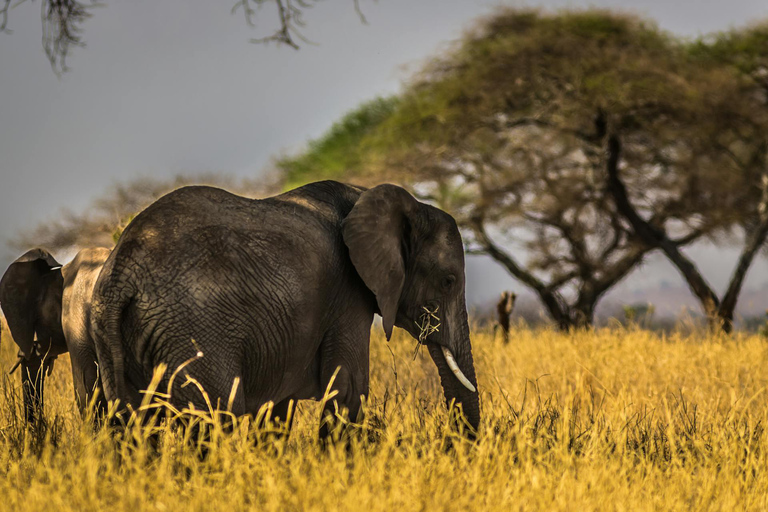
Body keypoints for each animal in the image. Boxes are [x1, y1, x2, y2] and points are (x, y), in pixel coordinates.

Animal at [91, 182, 480, 438]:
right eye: (448, 281)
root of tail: (122, 271)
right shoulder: (348, 293)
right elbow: (348, 388)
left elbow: (277, 407)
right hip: (191, 331)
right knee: (217, 419)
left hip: (114, 338)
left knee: (131, 424)